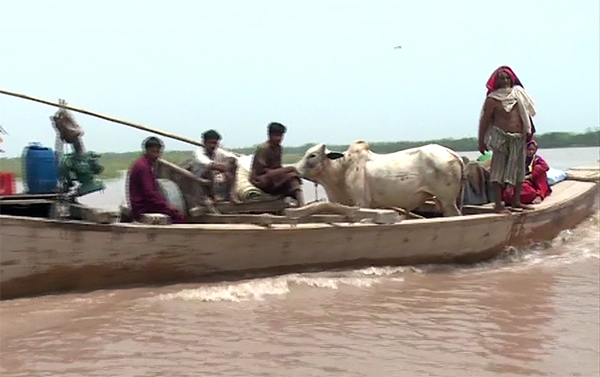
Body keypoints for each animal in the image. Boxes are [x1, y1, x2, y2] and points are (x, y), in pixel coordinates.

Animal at [296, 140, 464, 216]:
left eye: (312, 155)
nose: (295, 169)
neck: (341, 168)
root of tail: (453, 154)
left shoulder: (361, 202)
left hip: (447, 200)